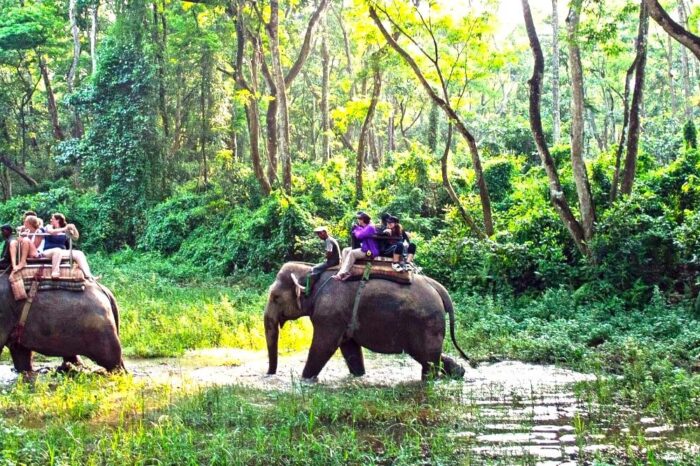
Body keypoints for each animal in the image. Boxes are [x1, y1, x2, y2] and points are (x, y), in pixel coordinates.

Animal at [264, 260, 470, 380]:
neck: (311, 271)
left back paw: (430, 380)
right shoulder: (341, 317)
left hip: (426, 322)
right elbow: (349, 347)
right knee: (431, 356)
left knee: (427, 359)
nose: (269, 374)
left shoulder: (329, 314)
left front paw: (305, 379)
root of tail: (438, 287)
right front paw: (359, 375)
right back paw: (459, 373)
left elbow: (324, 346)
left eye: (275, 297)